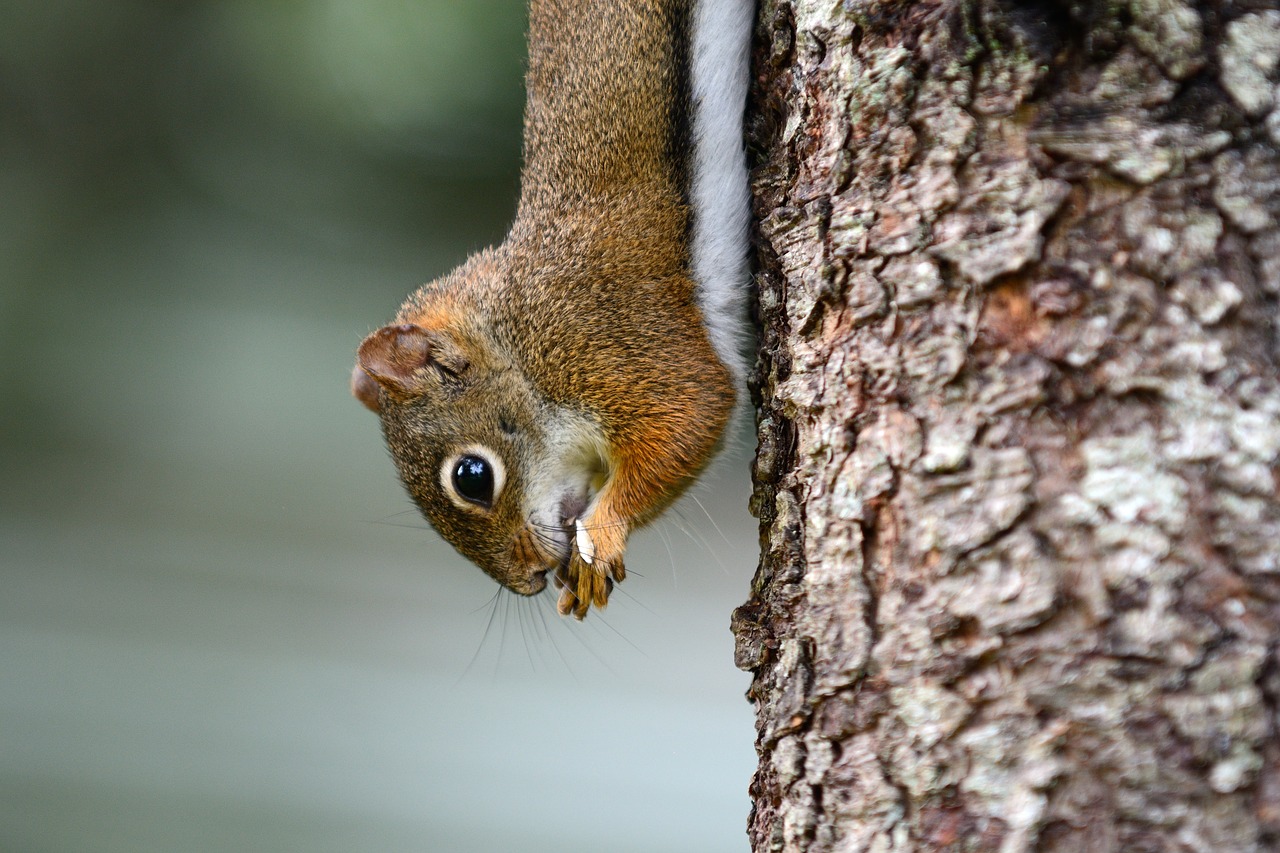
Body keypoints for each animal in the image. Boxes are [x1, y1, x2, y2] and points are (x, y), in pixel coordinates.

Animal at [350, 0, 747, 614]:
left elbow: (692, 414)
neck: (514, 341)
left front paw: (603, 535)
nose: (529, 579)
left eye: (471, 477)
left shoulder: (605, 339)